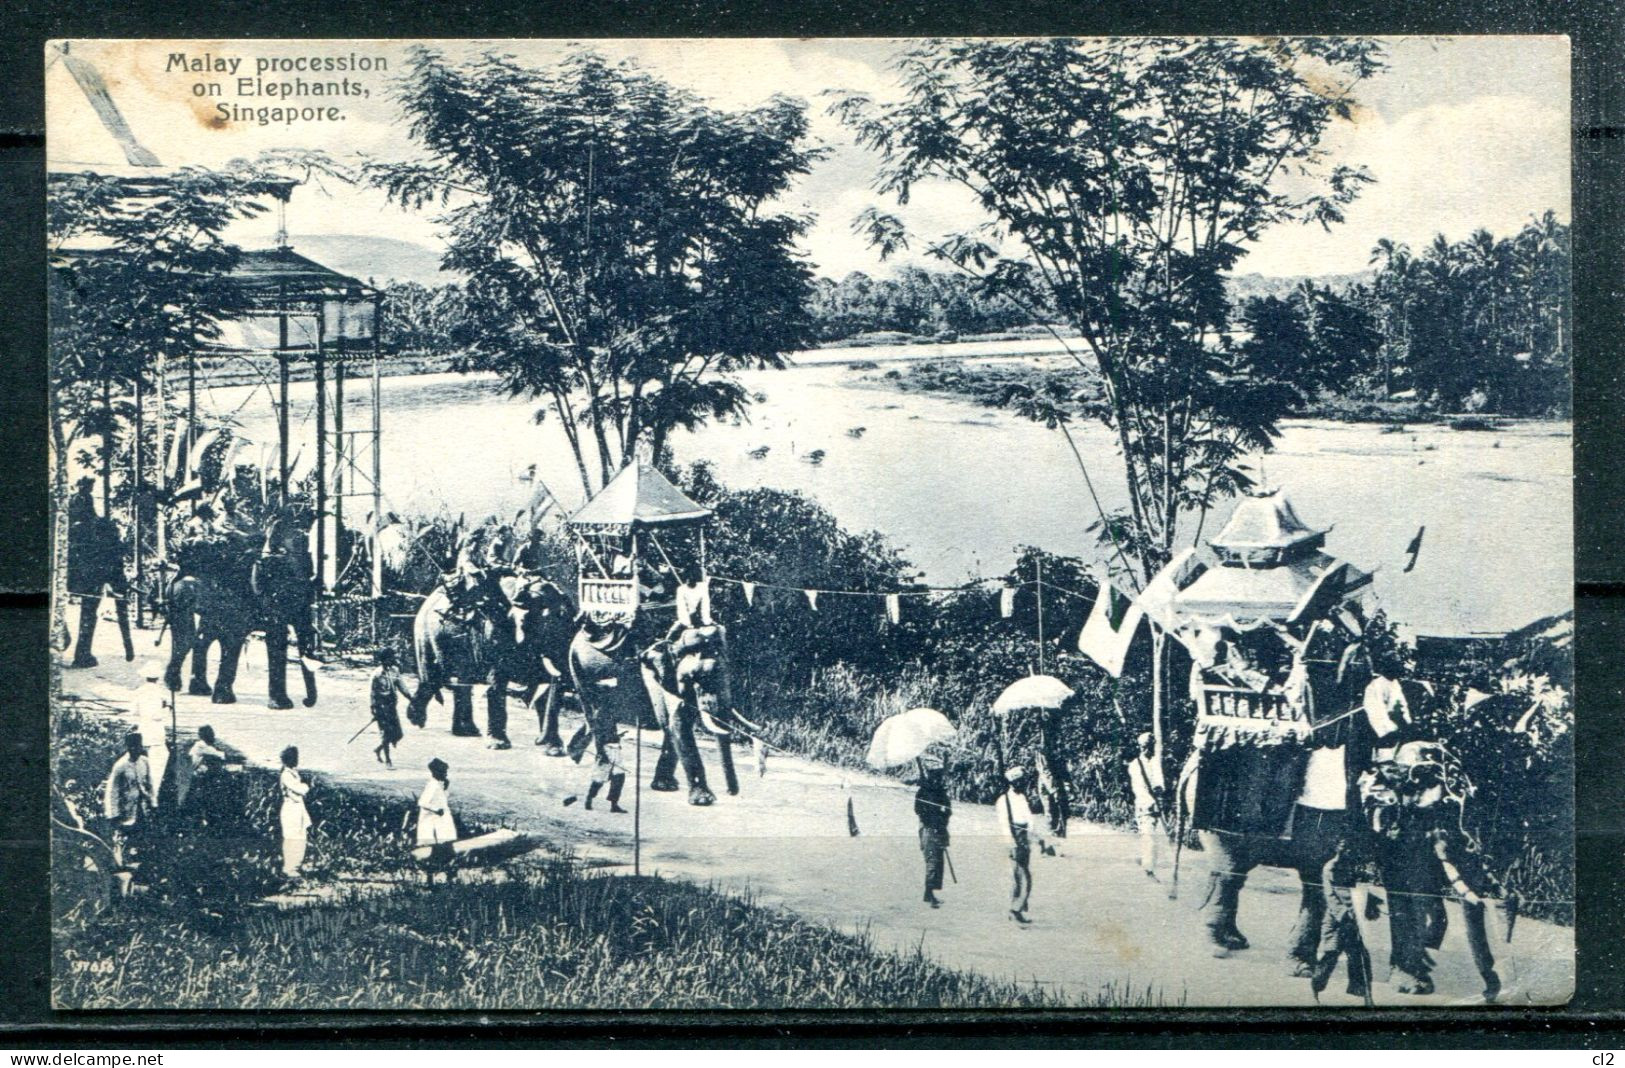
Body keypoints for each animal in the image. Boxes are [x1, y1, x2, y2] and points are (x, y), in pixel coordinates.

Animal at [406, 565, 578, 741]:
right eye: (550, 623)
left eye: (571, 621)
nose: (540, 741)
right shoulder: (494, 632)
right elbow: (497, 681)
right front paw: (499, 743)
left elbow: (543, 687)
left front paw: (553, 746)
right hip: (424, 633)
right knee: (432, 677)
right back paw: (417, 720)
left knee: (463, 680)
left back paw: (466, 731)